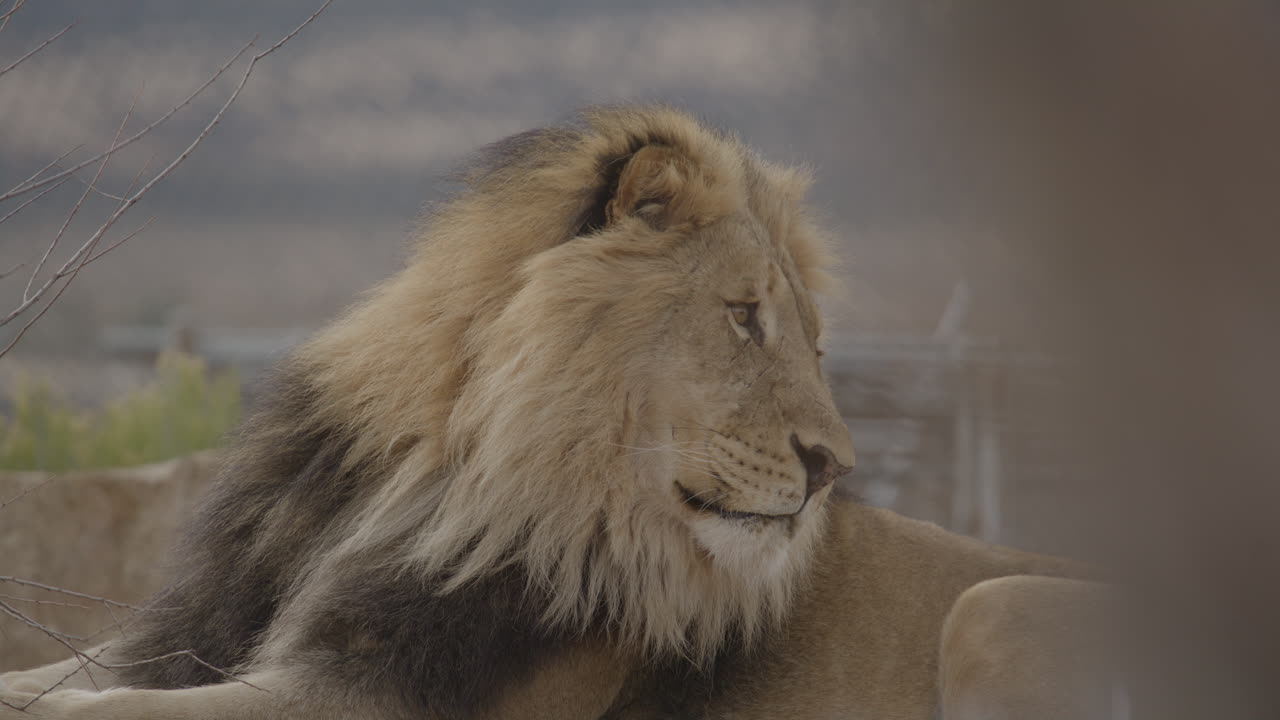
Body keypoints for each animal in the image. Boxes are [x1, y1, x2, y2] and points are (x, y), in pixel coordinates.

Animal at [0, 106, 1105, 719]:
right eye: (745, 317)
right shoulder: (191, 638)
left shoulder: (379, 699)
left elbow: (110, 710)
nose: (835, 464)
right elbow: (61, 680)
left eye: (814, 341)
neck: (448, 472)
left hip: (989, 602)